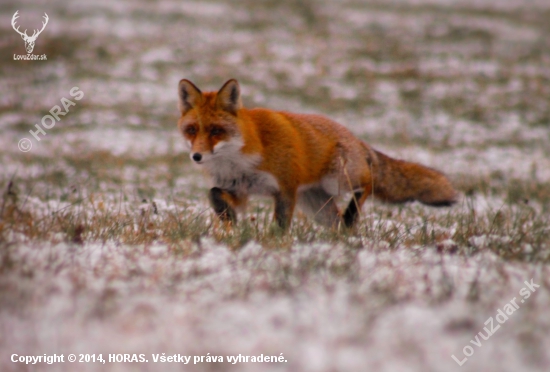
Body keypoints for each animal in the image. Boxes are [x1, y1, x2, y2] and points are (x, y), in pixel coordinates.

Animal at [179, 79, 460, 230]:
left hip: (337, 181)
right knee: (337, 224)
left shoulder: (285, 189)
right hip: (317, 207)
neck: (237, 161)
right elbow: (214, 194)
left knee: (366, 184)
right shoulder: (238, 188)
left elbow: (280, 224)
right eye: (192, 130)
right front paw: (229, 221)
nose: (197, 157)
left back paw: (352, 215)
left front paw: (275, 244)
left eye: (216, 131)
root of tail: (357, 139)